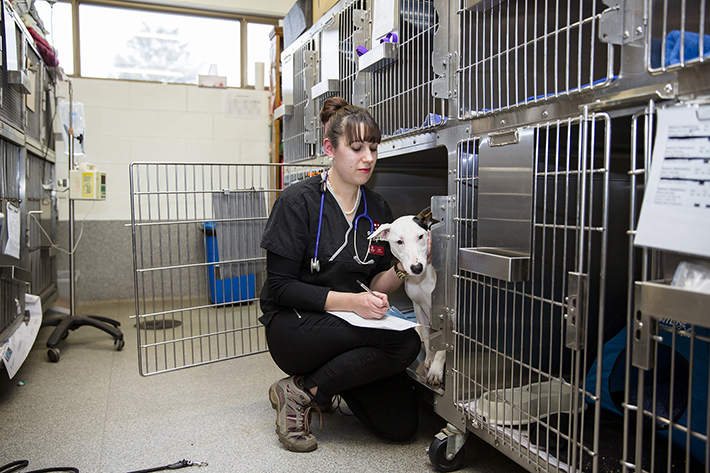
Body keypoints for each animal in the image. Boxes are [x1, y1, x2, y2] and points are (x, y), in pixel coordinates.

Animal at [372, 209, 444, 384]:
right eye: (399, 241)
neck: (421, 278)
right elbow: (428, 336)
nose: (417, 267)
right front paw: (430, 358)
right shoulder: (418, 308)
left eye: (421, 236)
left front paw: (437, 370)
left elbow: (445, 346)